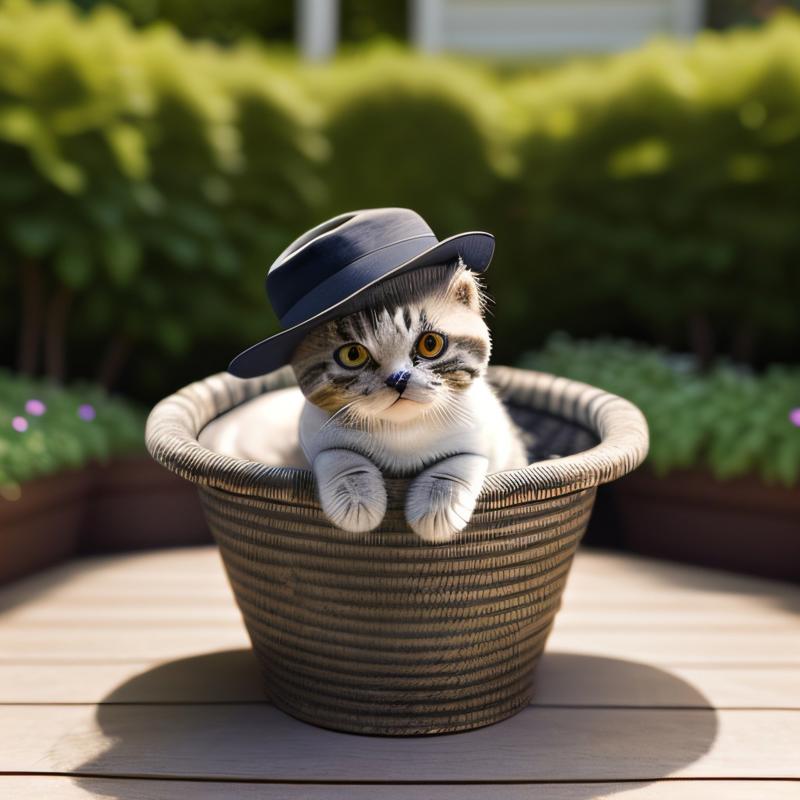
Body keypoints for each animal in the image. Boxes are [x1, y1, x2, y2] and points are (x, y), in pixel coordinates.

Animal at [290, 262, 528, 544]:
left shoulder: (487, 438)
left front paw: (438, 510)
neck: (402, 434)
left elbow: (456, 464)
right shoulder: (313, 432)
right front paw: (356, 500)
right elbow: (339, 455)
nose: (398, 379)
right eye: (353, 355)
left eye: (430, 344)